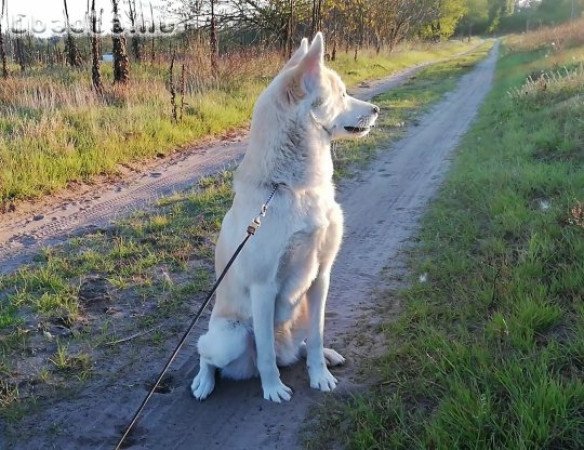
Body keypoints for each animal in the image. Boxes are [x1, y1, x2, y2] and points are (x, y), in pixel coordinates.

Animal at [193, 33, 378, 402]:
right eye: (341, 94)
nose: (377, 110)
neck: (295, 188)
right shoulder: (264, 288)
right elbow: (265, 351)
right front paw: (273, 388)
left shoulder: (321, 276)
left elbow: (318, 336)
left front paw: (320, 375)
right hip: (229, 337)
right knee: (207, 352)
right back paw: (203, 382)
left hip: (298, 318)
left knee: (302, 345)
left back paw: (323, 356)